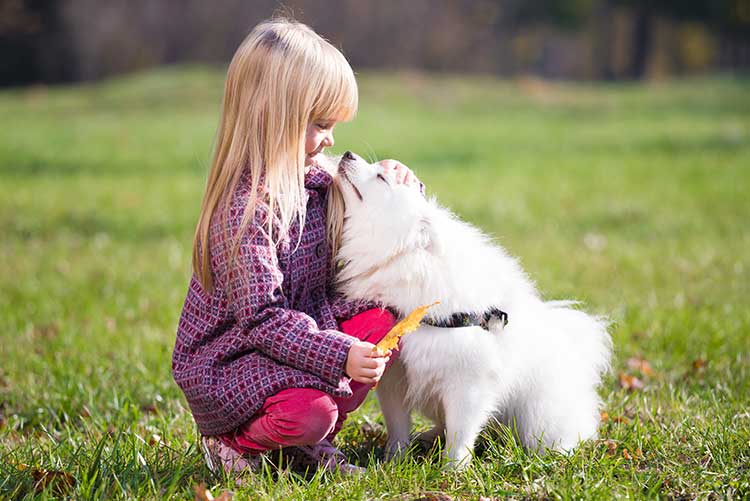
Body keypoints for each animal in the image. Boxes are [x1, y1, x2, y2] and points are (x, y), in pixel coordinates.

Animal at [334, 151, 612, 464]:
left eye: (382, 177)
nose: (347, 154)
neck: (407, 259)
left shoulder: (469, 381)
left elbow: (460, 433)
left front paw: (452, 469)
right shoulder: (395, 375)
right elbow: (397, 425)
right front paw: (394, 461)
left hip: (538, 417)